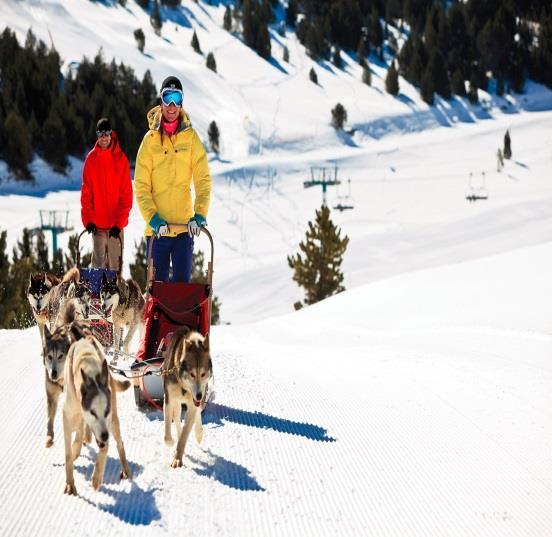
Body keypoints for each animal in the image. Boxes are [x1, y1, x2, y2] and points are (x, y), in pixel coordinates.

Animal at [62, 336, 132, 494]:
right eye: (93, 412)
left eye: (106, 411)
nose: (105, 436)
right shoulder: (68, 418)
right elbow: (68, 454)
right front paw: (70, 483)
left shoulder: (108, 420)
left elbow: (104, 448)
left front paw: (97, 477)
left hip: (114, 421)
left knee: (119, 443)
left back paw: (125, 469)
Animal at [163, 324, 212, 466]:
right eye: (192, 374)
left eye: (203, 374)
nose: (199, 395)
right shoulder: (168, 400)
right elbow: (167, 432)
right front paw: (171, 442)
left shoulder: (193, 404)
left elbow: (185, 433)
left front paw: (177, 458)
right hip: (177, 403)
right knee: (177, 417)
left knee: (197, 414)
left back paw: (198, 433)